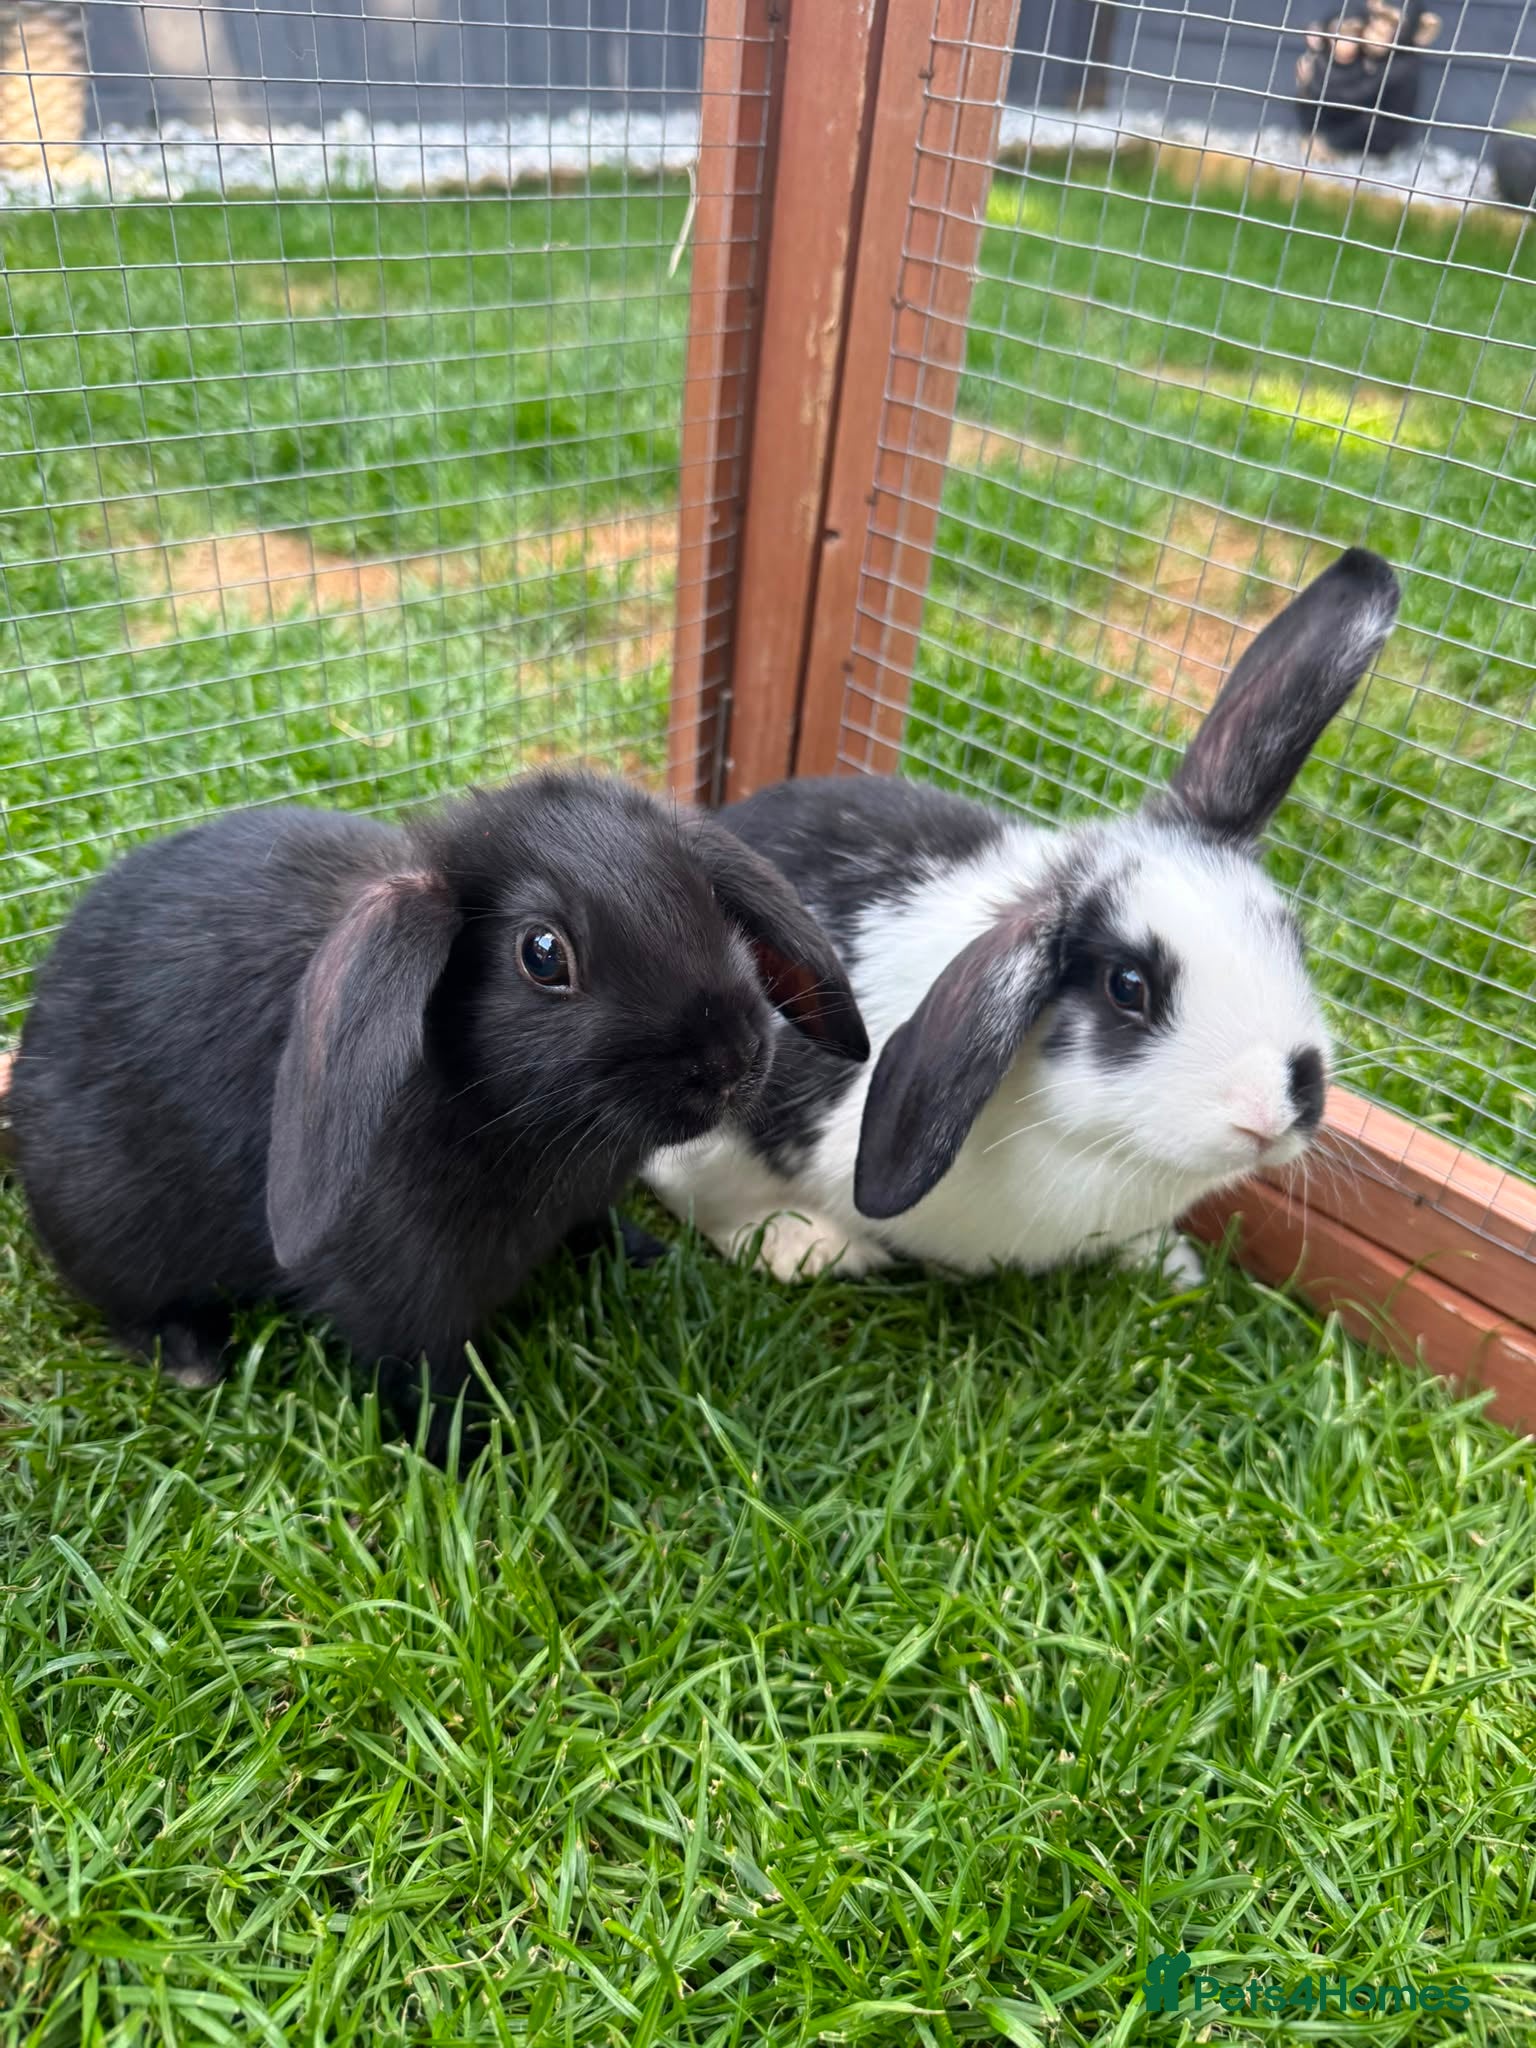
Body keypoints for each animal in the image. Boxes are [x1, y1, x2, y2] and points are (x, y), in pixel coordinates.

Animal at [8, 770, 868, 1446]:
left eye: (707, 900)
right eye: (543, 955)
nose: (734, 1061)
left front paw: (641, 1251)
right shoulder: (398, 1299)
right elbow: (425, 1378)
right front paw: (473, 1455)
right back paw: (189, 1358)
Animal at [645, 547, 1399, 1287]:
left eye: (1293, 940)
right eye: (1127, 986)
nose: (1271, 1115)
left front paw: (1166, 1262)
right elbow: (704, 1196)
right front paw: (796, 1243)